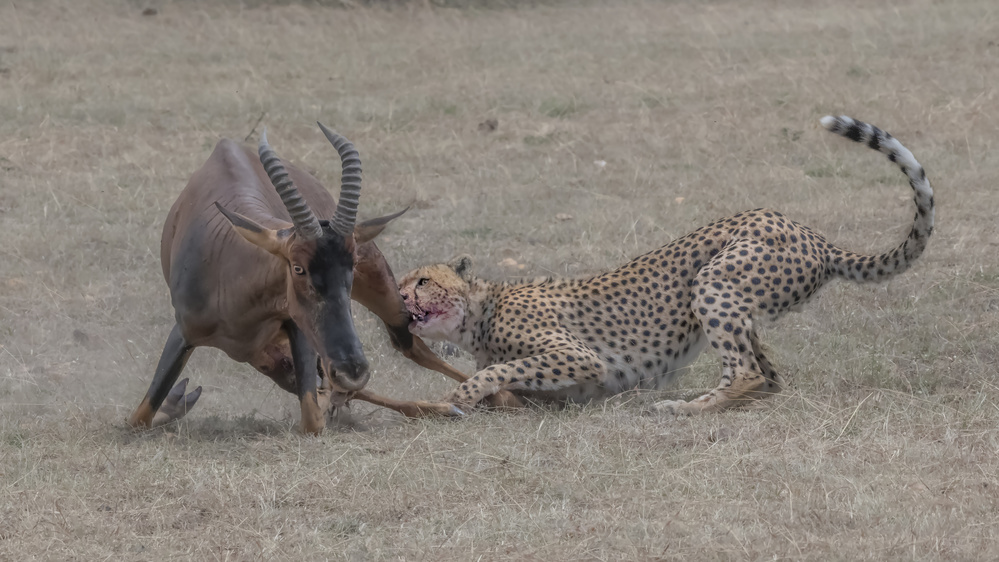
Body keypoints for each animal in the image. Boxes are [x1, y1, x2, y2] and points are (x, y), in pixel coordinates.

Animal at [129, 122, 512, 434]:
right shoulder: (184, 335)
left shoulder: (298, 332)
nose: (353, 369)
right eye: (297, 267)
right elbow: (138, 418)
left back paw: (492, 398)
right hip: (271, 360)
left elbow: (314, 418)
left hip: (381, 303)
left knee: (411, 348)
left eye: (350, 264)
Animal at [400, 116, 936, 414]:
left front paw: (457, 399)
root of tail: (814, 236)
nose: (401, 297)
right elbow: (509, 381)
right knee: (769, 379)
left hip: (713, 281)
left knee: (747, 374)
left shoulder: (579, 357)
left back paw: (685, 408)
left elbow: (496, 371)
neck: (479, 312)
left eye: (422, 280)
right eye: (404, 281)